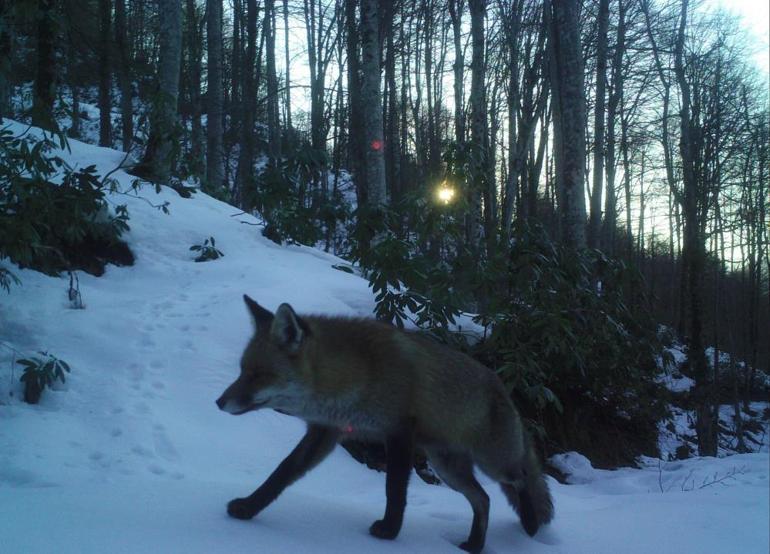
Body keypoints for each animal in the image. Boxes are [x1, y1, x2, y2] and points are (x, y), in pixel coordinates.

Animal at [216, 296, 552, 548]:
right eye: (242, 370)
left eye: (258, 375)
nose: (219, 402)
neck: (355, 376)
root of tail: (504, 389)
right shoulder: (327, 431)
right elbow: (282, 473)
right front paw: (249, 507)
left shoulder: (399, 430)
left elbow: (395, 489)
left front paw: (389, 531)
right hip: (448, 468)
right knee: (483, 499)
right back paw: (474, 545)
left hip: (493, 463)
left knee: (520, 478)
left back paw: (530, 523)